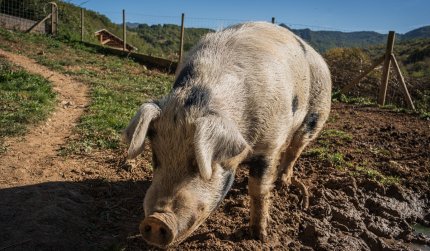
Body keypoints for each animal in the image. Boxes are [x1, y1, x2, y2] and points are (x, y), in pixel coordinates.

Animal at [122, 21, 330, 247]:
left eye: (197, 164)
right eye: (156, 158)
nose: (156, 220)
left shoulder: (270, 144)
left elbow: (258, 189)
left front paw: (259, 236)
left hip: (317, 114)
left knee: (295, 149)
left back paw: (283, 183)